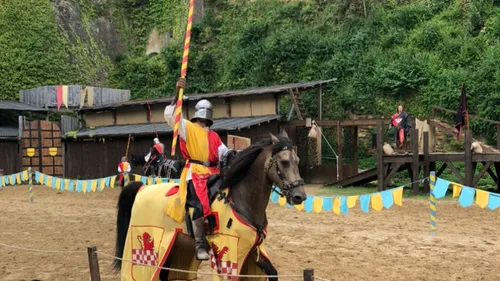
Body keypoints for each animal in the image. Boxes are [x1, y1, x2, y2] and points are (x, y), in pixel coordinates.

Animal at [114, 130, 308, 278]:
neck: (242, 200)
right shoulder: (230, 253)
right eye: (284, 162)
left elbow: (272, 272)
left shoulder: (253, 249)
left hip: (175, 245)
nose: (300, 196)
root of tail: (142, 188)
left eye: (297, 161)